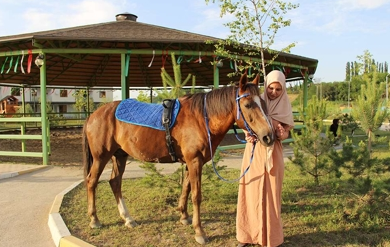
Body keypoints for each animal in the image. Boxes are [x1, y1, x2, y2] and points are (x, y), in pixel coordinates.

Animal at [82, 72, 274, 244]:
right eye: (248, 105)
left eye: (263, 103)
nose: (268, 136)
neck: (201, 119)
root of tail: (93, 116)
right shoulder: (194, 161)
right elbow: (196, 195)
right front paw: (199, 232)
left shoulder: (191, 163)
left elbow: (186, 188)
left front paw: (184, 216)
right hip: (101, 157)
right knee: (92, 181)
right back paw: (94, 220)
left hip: (119, 156)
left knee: (115, 182)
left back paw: (127, 218)